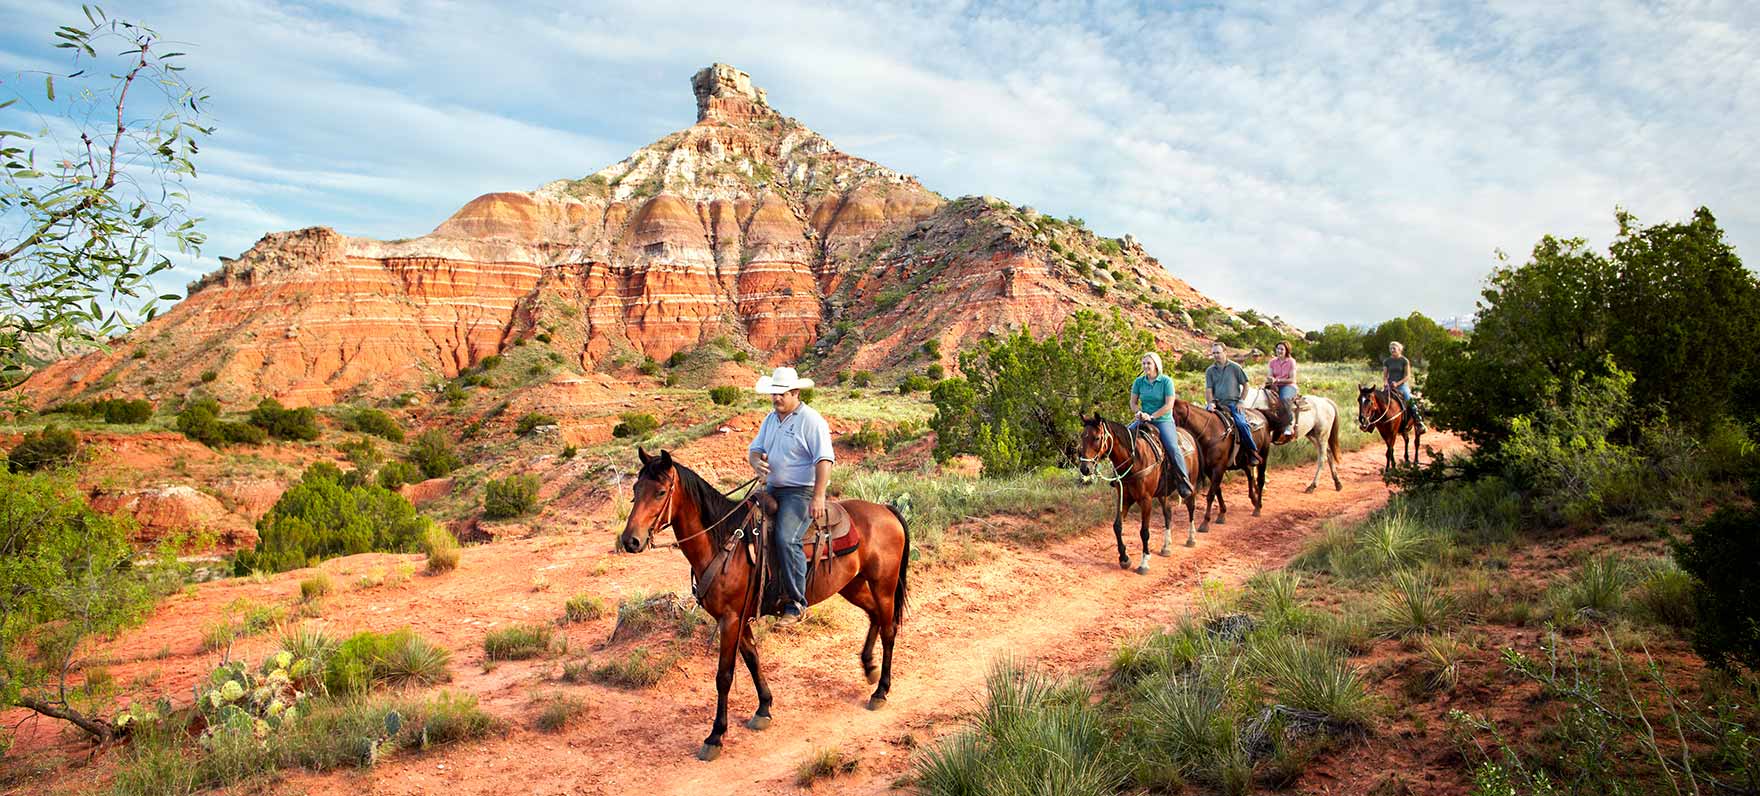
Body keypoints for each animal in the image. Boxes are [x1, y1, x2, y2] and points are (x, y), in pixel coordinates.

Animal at [619, 450, 915, 760]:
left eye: (661, 492)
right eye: (635, 489)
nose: (630, 540)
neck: (724, 542)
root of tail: (886, 510)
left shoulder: (730, 619)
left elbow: (724, 676)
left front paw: (716, 736)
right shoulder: (736, 618)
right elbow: (752, 659)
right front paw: (764, 708)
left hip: (883, 585)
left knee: (889, 630)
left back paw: (881, 691)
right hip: (852, 585)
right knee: (874, 616)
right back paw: (869, 668)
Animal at [1077, 413, 1203, 570]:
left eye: (1096, 438)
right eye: (1083, 436)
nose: (1085, 468)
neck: (1135, 460)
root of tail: (1189, 435)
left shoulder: (1146, 499)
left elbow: (1144, 531)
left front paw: (1144, 562)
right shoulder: (1124, 497)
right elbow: (1117, 526)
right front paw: (1124, 558)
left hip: (1191, 484)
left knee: (1191, 507)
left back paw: (1191, 538)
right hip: (1162, 493)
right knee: (1168, 512)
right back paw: (1166, 547)